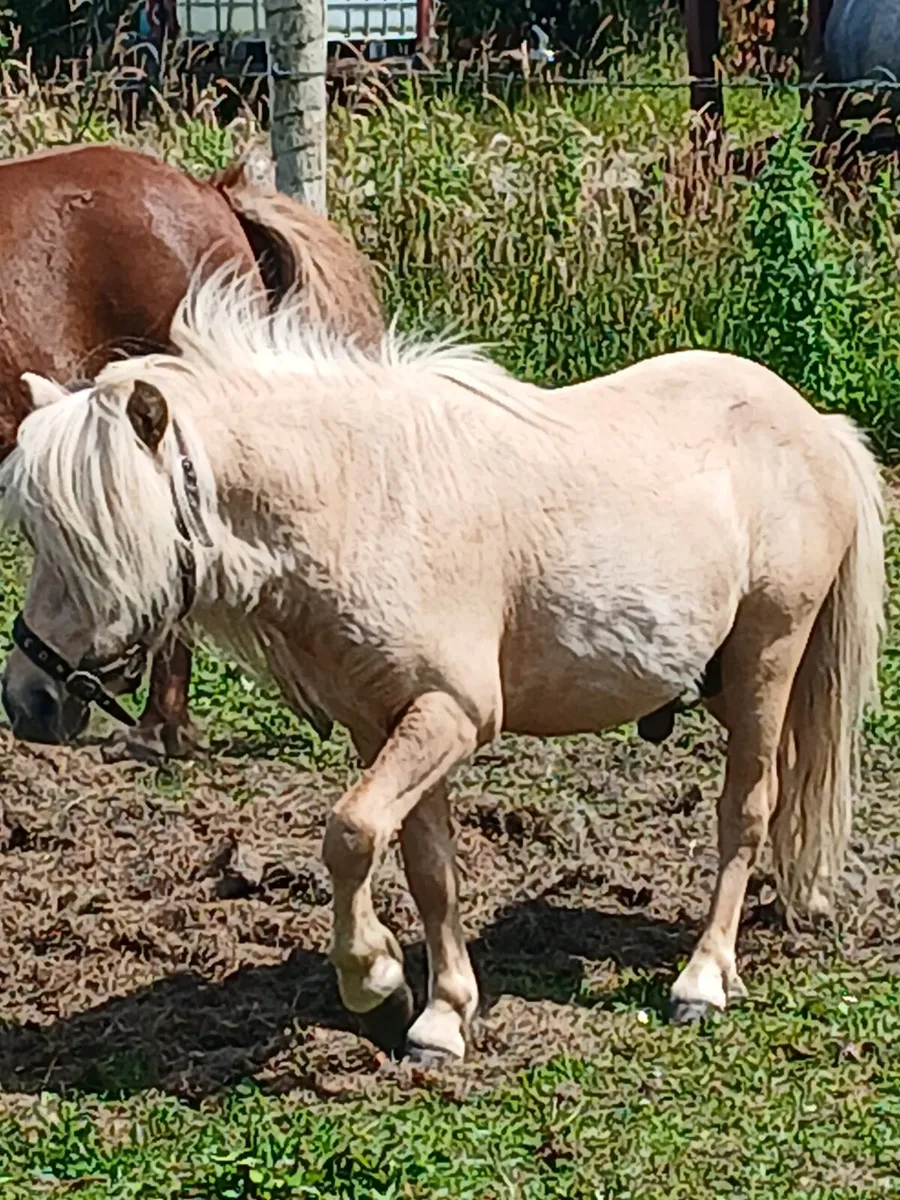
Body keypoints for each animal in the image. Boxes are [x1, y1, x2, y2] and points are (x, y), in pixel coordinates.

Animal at [0, 270, 885, 1063]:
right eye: (37, 536)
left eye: (96, 540)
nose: (28, 701)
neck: (363, 499)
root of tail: (817, 426)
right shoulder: (387, 725)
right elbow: (428, 868)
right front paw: (439, 1016)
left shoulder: (451, 715)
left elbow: (352, 834)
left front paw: (374, 981)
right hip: (724, 682)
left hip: (769, 655)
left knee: (747, 808)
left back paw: (703, 977)